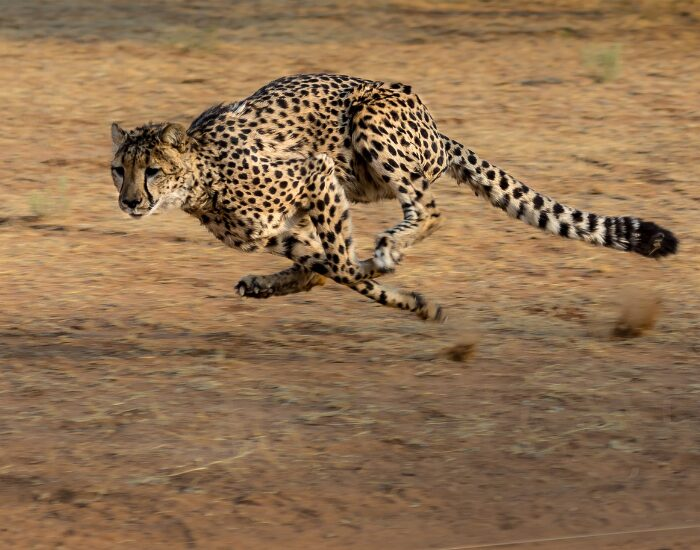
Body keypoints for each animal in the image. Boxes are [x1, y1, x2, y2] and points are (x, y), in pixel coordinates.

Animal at [110, 73, 678, 322]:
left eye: (152, 170)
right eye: (119, 170)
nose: (130, 202)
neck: (201, 180)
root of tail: (436, 128)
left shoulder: (315, 173)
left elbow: (342, 266)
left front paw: (408, 297)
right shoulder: (279, 230)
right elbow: (328, 267)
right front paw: (406, 297)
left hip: (369, 124)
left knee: (428, 210)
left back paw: (388, 249)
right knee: (327, 264)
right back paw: (278, 282)